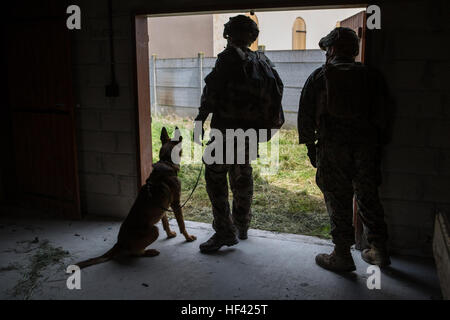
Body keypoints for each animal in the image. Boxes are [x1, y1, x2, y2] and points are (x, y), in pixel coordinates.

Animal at [76, 126, 197, 268]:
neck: (166, 161)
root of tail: (119, 243)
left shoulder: (164, 208)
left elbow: (166, 222)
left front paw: (169, 234)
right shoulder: (176, 204)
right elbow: (182, 225)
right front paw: (188, 238)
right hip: (154, 230)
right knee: (134, 253)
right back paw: (148, 252)